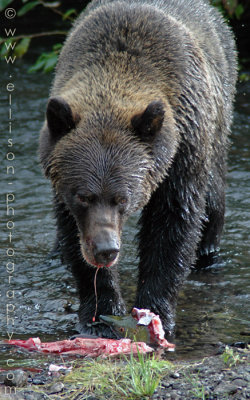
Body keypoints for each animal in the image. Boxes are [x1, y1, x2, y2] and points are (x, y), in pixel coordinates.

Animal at [38, 0, 236, 338]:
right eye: (83, 196)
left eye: (122, 198)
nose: (106, 250)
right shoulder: (62, 185)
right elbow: (73, 234)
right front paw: (100, 315)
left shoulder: (181, 153)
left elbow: (172, 226)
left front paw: (155, 312)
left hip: (218, 119)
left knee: (211, 198)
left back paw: (208, 253)